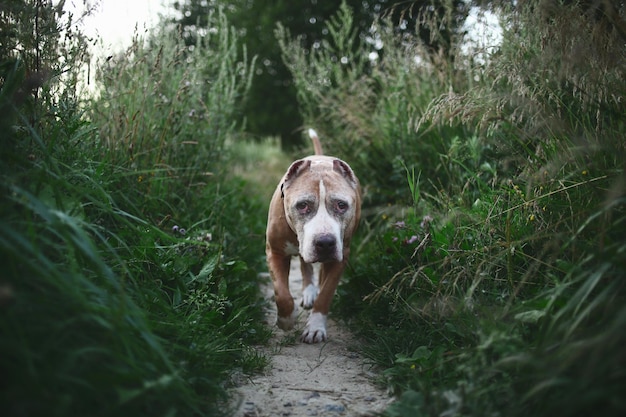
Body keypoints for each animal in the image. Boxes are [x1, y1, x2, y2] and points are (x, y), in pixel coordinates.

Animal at [264, 128, 360, 342]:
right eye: (303, 205)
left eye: (341, 205)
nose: (325, 242)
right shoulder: (275, 251)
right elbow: (281, 291)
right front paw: (286, 320)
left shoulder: (340, 257)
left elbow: (326, 293)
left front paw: (315, 327)